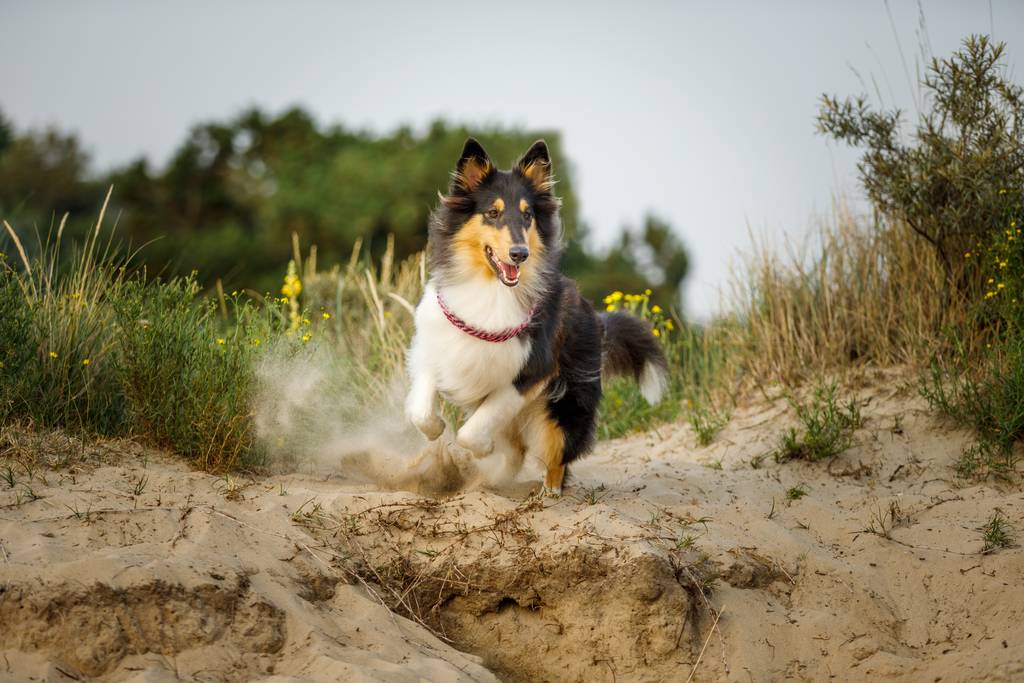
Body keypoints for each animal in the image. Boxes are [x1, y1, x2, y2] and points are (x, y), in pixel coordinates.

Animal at [403, 137, 667, 491]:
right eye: (493, 213)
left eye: (527, 216)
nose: (520, 254)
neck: (490, 289)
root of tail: (595, 317)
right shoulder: (436, 348)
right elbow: (420, 410)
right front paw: (438, 431)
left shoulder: (531, 372)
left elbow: (471, 431)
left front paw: (482, 449)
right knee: (517, 450)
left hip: (564, 406)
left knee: (556, 455)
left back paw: (547, 492)